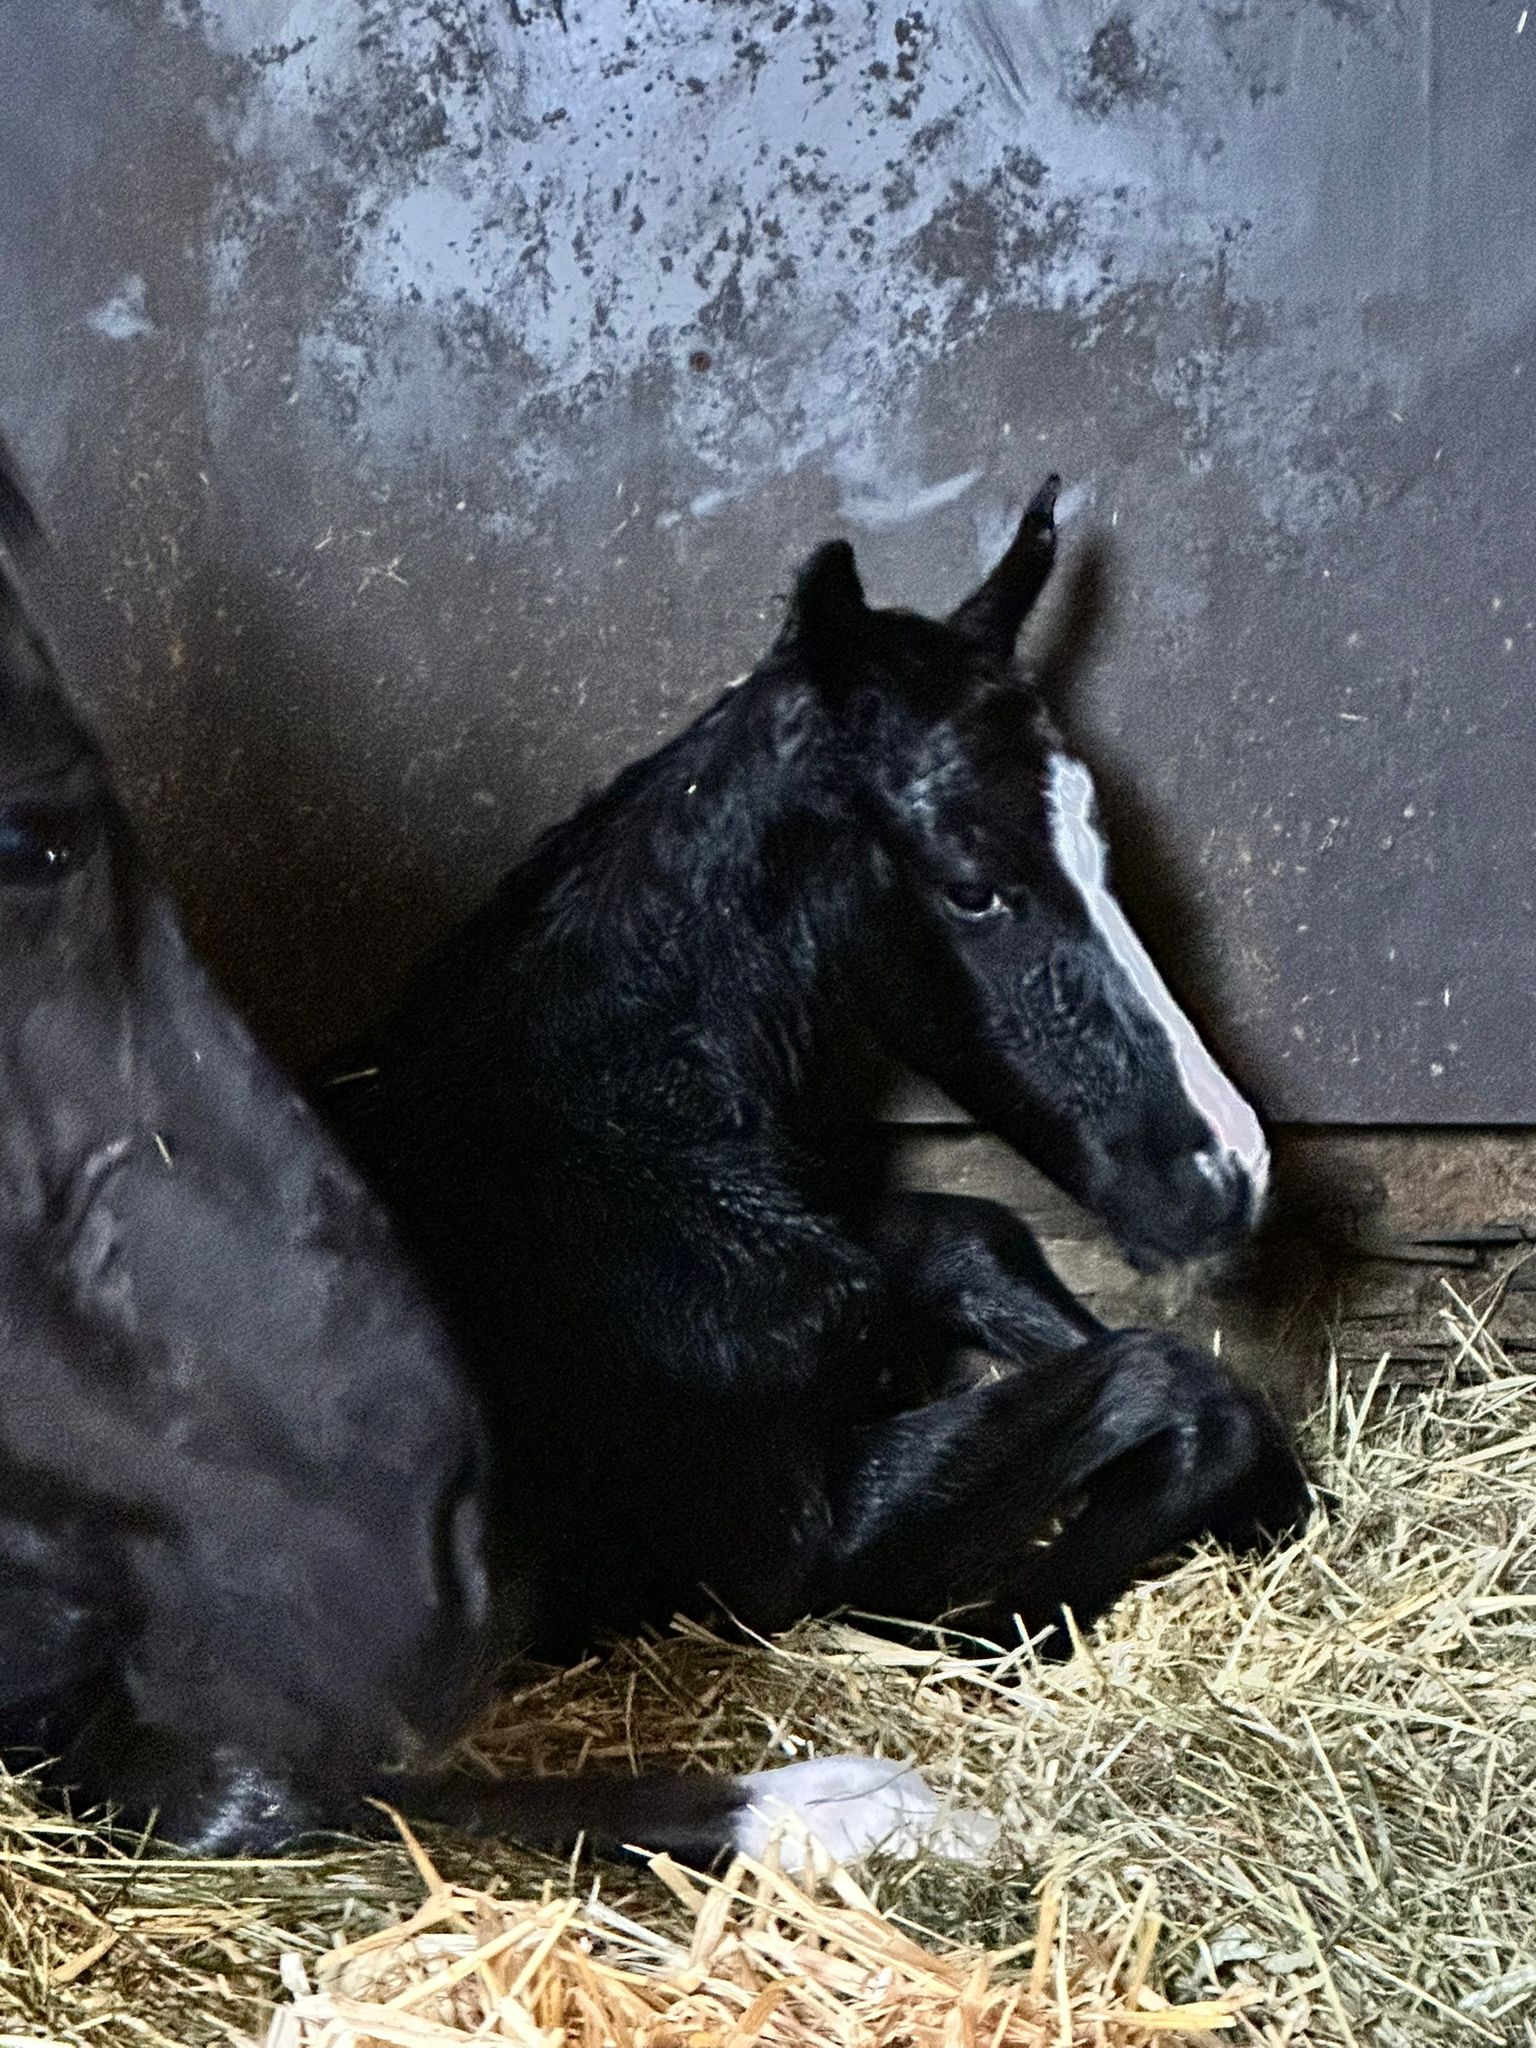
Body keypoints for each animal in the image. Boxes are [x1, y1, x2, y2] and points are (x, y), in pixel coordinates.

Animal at [319, 477, 1312, 1662]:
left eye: (1105, 852)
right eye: (971, 886)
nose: (1230, 1172)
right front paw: (997, 1624)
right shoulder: (779, 1545)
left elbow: (975, 1240)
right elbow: (1170, 1378)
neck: (619, 1135)